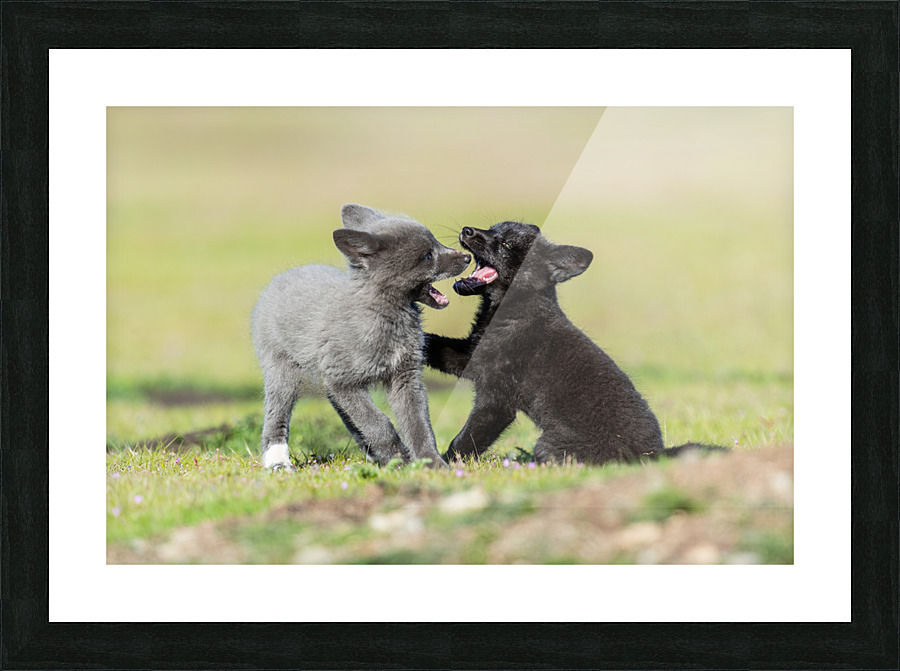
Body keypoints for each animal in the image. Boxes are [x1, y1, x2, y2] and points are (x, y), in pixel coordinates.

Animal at [252, 204, 471, 471]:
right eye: (428, 255)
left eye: (436, 242)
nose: (467, 257)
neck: (388, 318)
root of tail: (282, 277)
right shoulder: (342, 381)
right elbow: (378, 423)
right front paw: (399, 457)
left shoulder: (404, 378)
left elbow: (419, 425)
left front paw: (432, 464)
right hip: (283, 373)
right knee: (276, 415)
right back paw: (277, 462)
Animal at [424, 221, 725, 465]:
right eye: (492, 228)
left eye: (506, 244)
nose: (466, 230)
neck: (513, 310)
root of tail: (653, 455)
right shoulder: (470, 358)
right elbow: (434, 345)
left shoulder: (496, 400)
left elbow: (466, 440)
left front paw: (447, 466)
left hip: (547, 445)